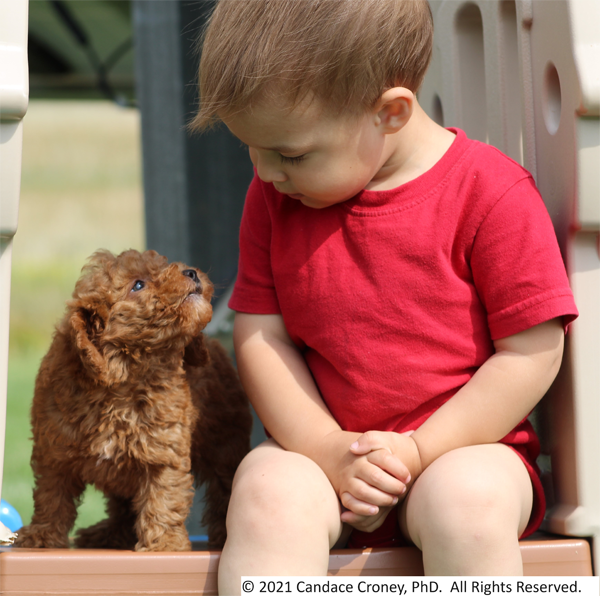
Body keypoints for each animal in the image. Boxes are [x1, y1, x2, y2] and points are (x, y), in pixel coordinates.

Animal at [15, 249, 252, 552]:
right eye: (137, 285)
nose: (191, 272)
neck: (125, 378)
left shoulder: (165, 449)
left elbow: (163, 498)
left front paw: (164, 544)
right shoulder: (54, 448)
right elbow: (51, 495)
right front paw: (42, 536)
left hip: (225, 440)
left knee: (225, 488)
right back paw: (108, 534)